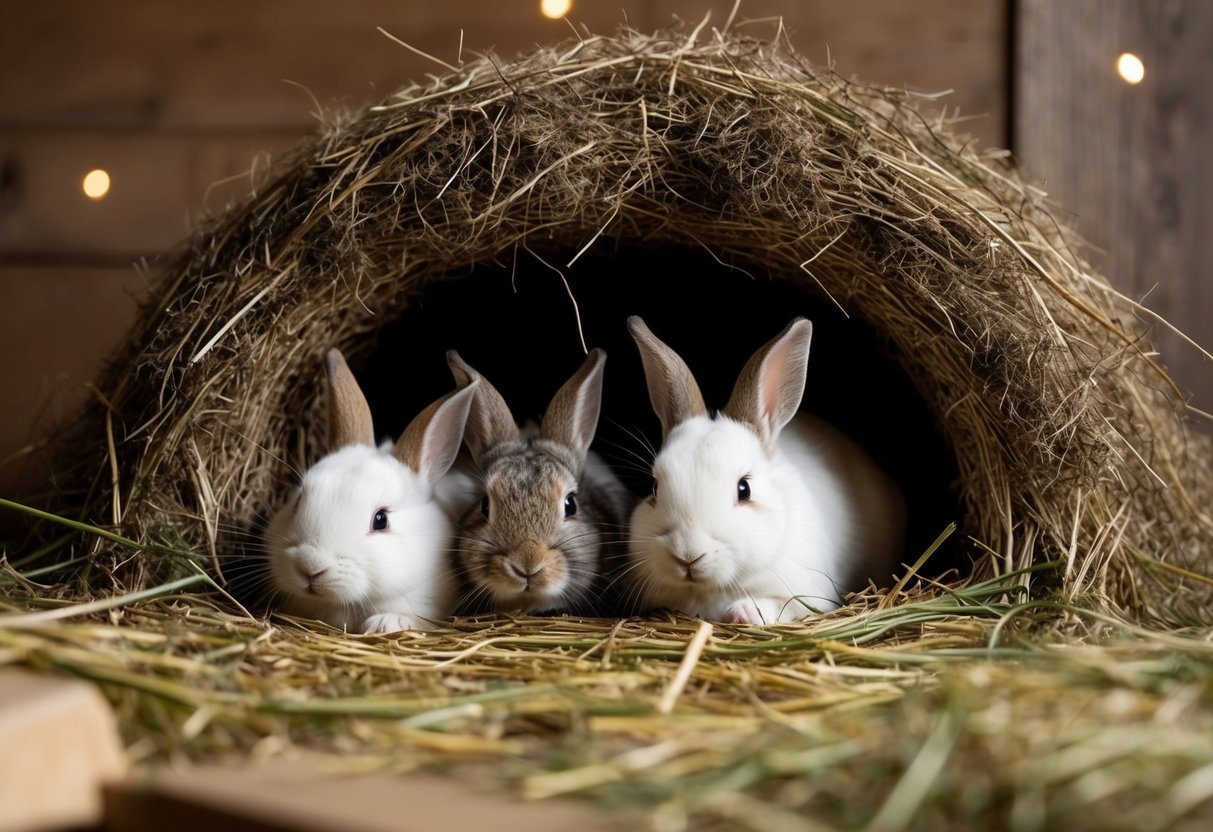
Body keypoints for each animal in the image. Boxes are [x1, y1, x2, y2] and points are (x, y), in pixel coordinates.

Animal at [623, 316, 906, 625]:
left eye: (744, 489)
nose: (688, 554)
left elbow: (781, 605)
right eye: (654, 488)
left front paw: (743, 612)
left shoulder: (810, 596)